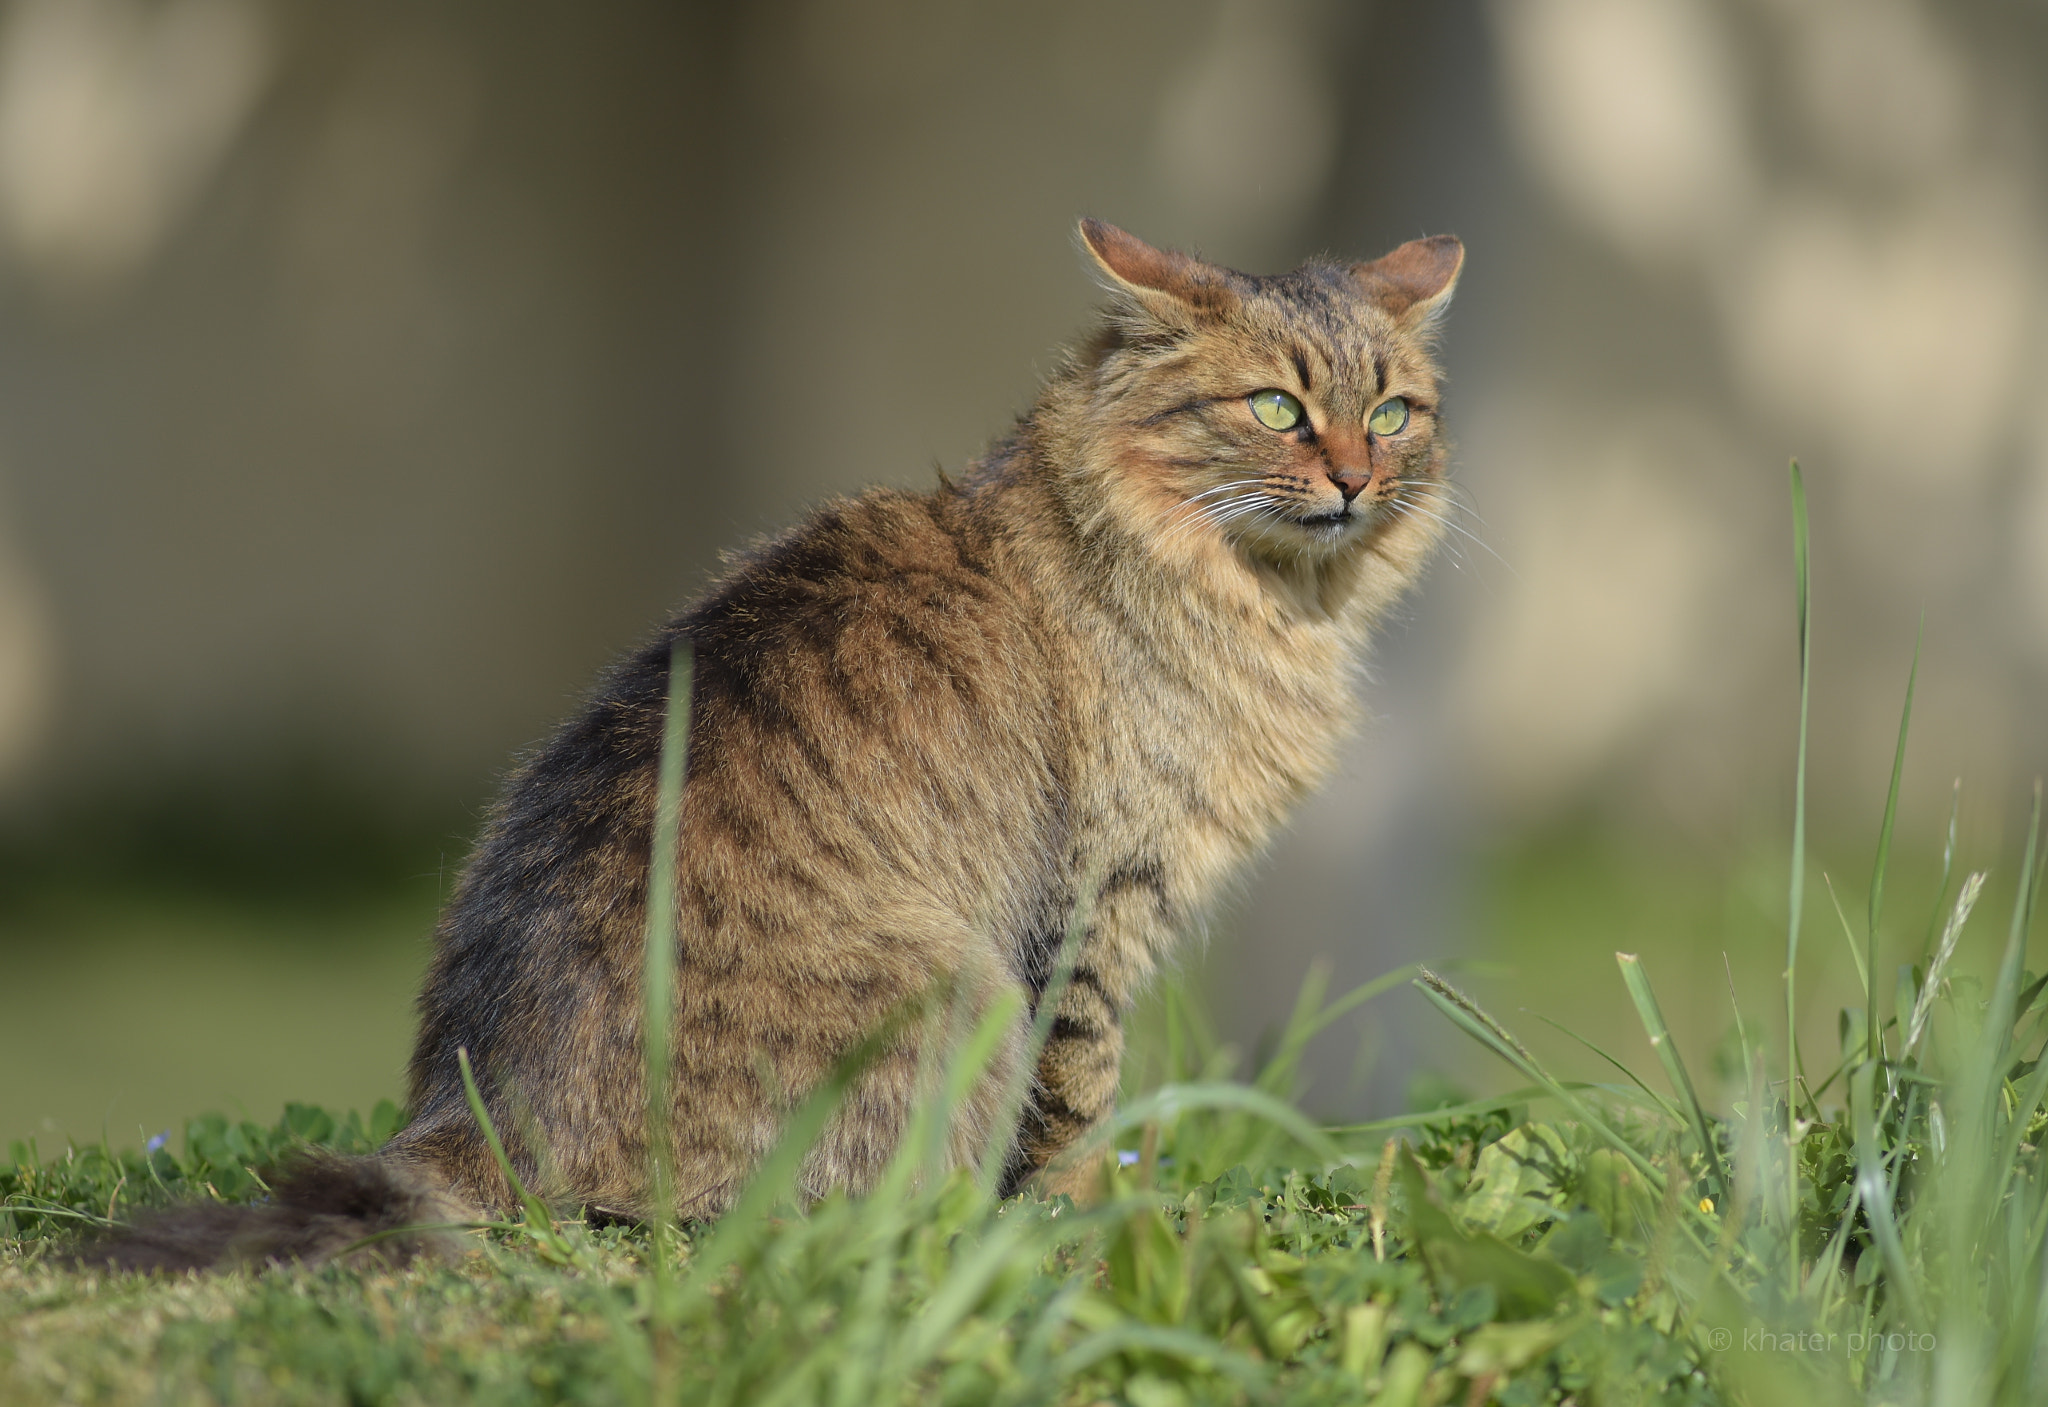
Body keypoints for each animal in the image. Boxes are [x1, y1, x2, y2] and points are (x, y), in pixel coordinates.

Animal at [79, 220, 1458, 1277]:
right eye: (1276, 408)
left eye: (1392, 412)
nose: (1355, 478)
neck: (1263, 603)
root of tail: (474, 1109)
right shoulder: (1092, 913)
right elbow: (1075, 1116)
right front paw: (1088, 1232)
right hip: (960, 986)